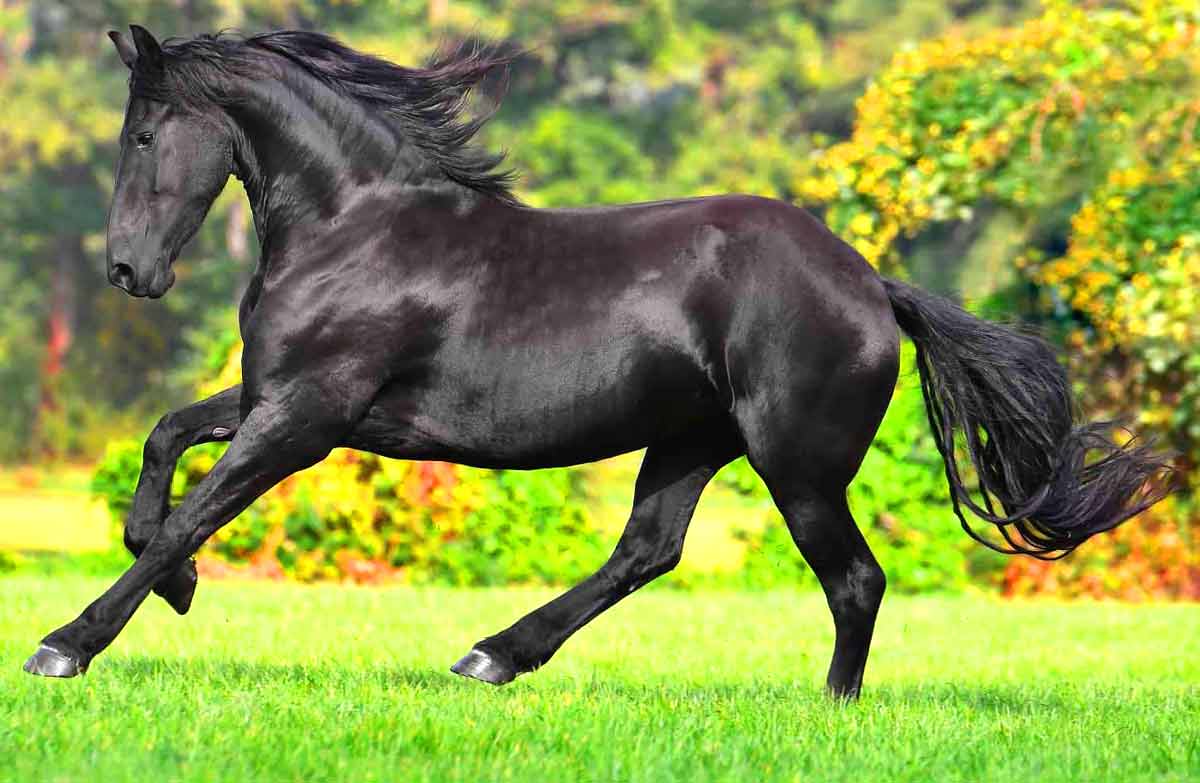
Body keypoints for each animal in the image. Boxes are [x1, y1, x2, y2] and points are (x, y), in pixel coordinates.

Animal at [24, 25, 1173, 698]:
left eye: (142, 134)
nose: (127, 269)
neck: (359, 226)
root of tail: (869, 283)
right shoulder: (285, 399)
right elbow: (165, 443)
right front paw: (175, 587)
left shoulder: (307, 415)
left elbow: (198, 508)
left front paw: (68, 643)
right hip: (692, 441)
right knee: (646, 553)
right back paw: (491, 656)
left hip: (796, 464)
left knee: (853, 579)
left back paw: (831, 710)